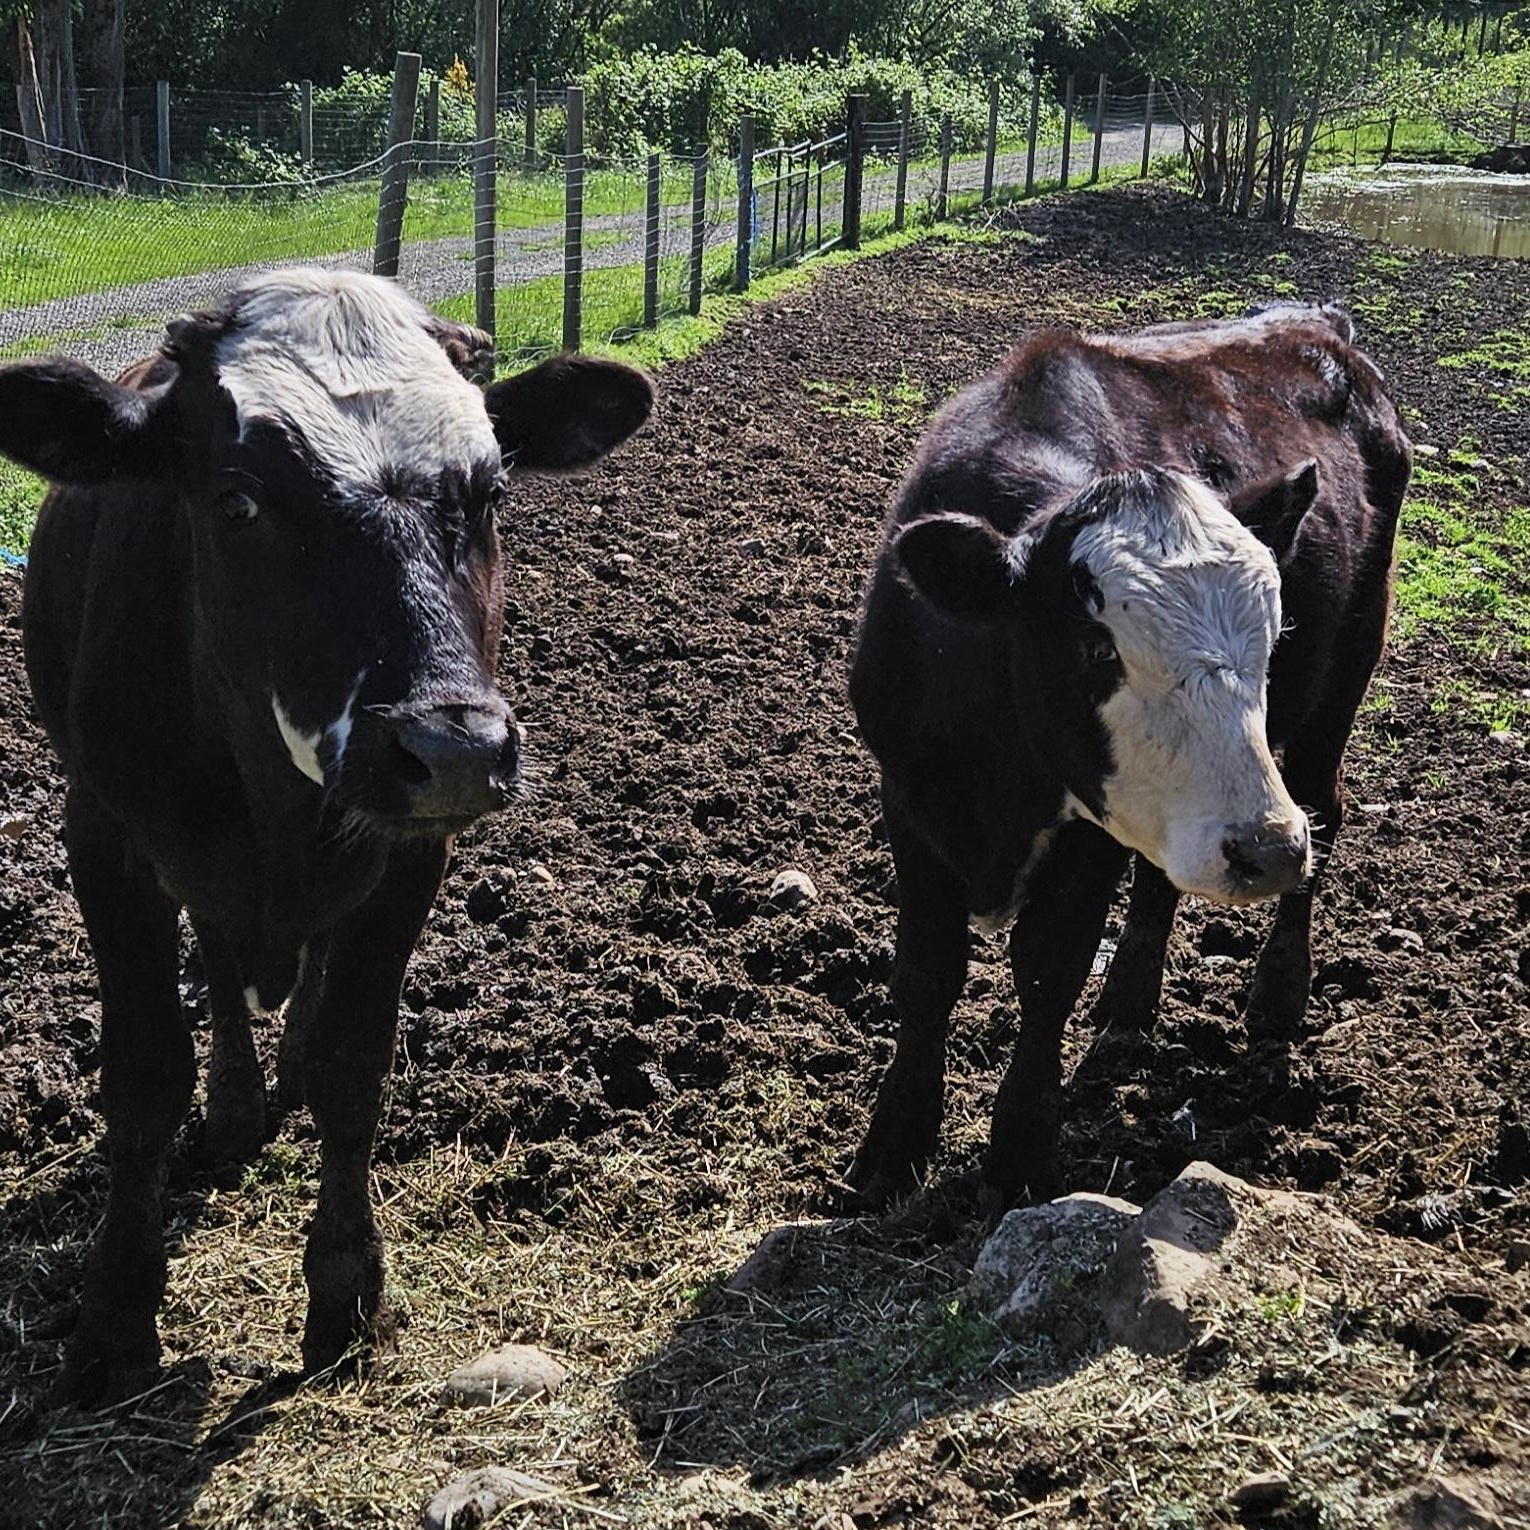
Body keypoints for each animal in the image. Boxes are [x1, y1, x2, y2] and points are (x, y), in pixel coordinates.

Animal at [0, 269, 653, 1406]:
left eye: (491, 492)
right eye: (237, 500)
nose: (448, 745)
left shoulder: (412, 851)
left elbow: (354, 1061)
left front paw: (346, 1296)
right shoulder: (107, 837)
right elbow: (143, 1074)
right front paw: (115, 1319)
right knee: (222, 964)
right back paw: (233, 1107)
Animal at [844, 304, 1411, 1217]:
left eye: (1272, 636)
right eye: (1097, 650)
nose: (1268, 850)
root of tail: (1315, 322)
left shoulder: (1089, 836)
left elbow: (1048, 972)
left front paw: (1019, 1159)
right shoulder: (910, 799)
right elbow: (928, 973)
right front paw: (891, 1151)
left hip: (1347, 673)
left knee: (1325, 806)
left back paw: (1278, 990)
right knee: (1163, 877)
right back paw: (1130, 1002)